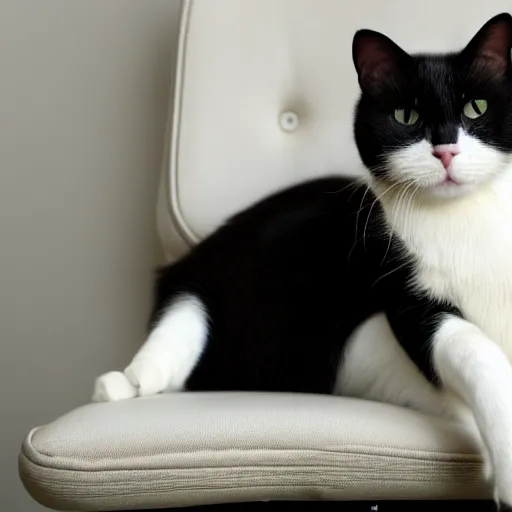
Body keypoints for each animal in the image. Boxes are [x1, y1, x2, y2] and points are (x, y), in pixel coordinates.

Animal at [93, 12, 512, 508]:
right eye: (405, 116)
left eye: (476, 108)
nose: (446, 151)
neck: (465, 219)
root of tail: (193, 257)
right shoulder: (402, 298)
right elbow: (473, 349)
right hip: (207, 292)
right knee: (173, 339)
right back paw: (121, 384)